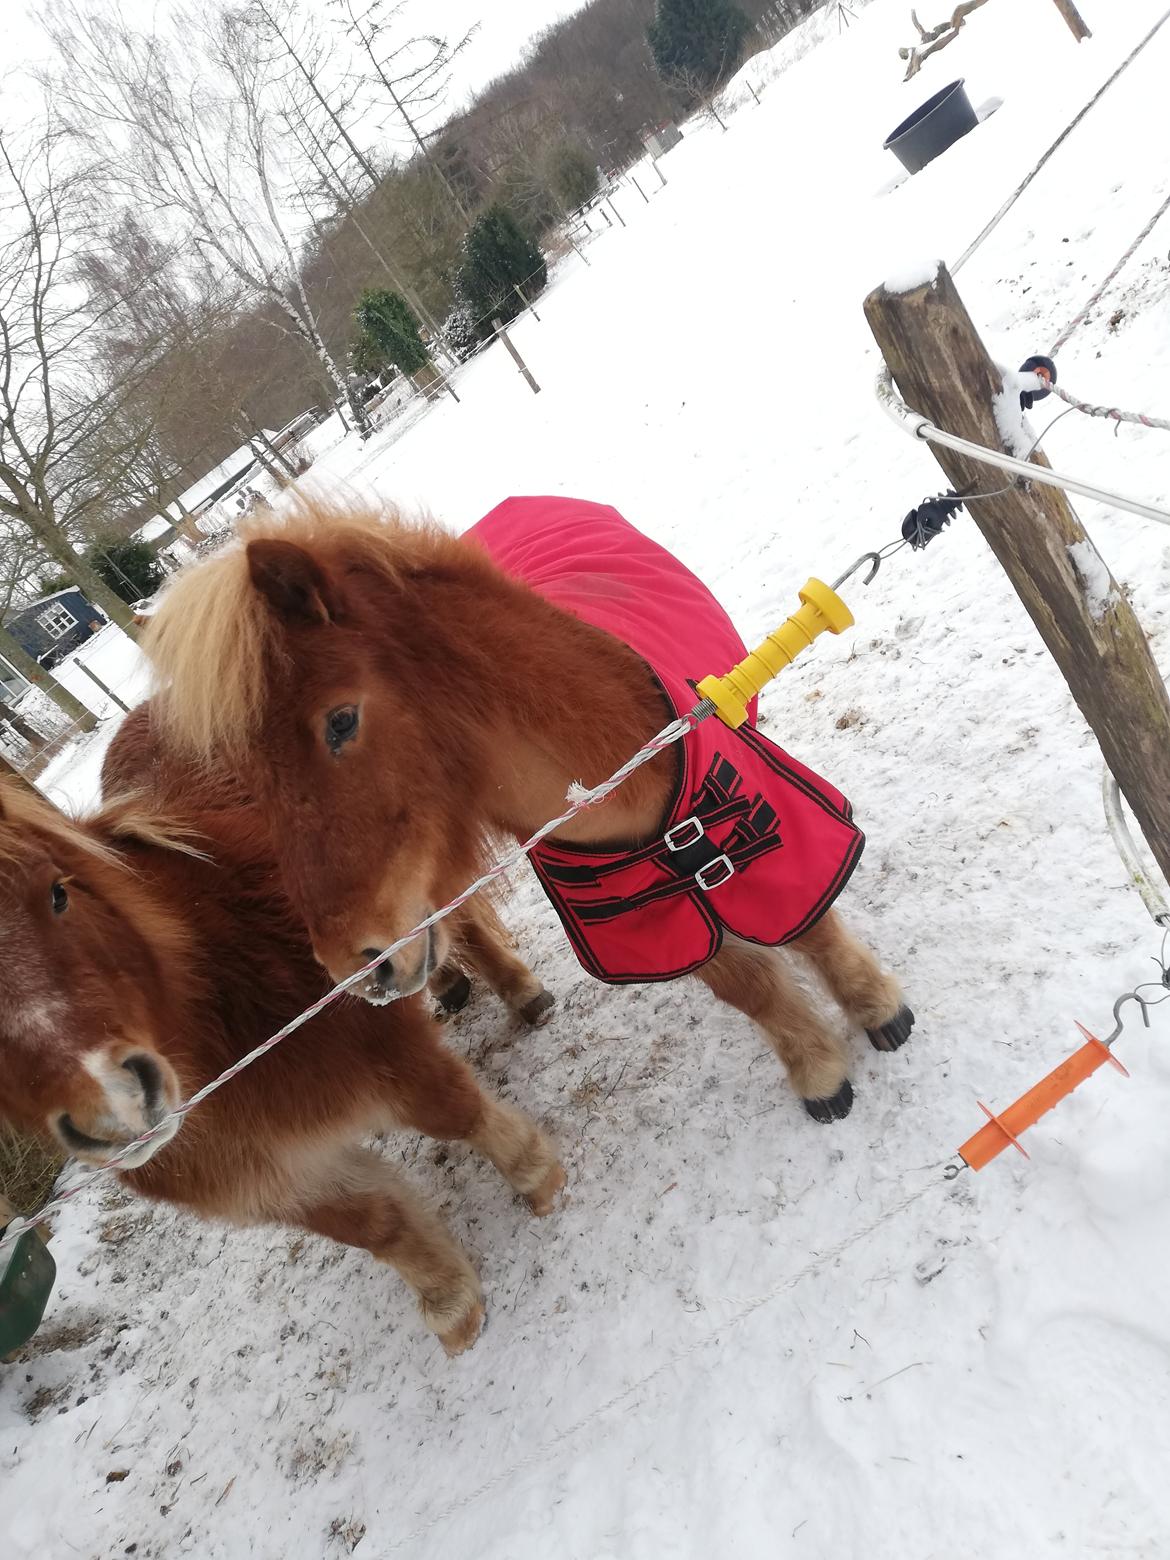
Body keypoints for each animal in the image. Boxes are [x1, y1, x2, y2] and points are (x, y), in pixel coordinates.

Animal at [0, 767, 567, 1354]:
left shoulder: (380, 1051)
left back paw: (522, 994)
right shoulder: (263, 1173)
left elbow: (454, 1111)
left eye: (58, 894)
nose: (120, 1108)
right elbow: (374, 1226)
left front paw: (536, 1176)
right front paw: (449, 1302)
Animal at [146, 499, 911, 1123]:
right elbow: (746, 985)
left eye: (340, 722)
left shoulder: (770, 828)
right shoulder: (638, 917)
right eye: (247, 777)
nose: (354, 968)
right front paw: (818, 1072)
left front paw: (878, 1010)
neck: (607, 783)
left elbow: (812, 926)